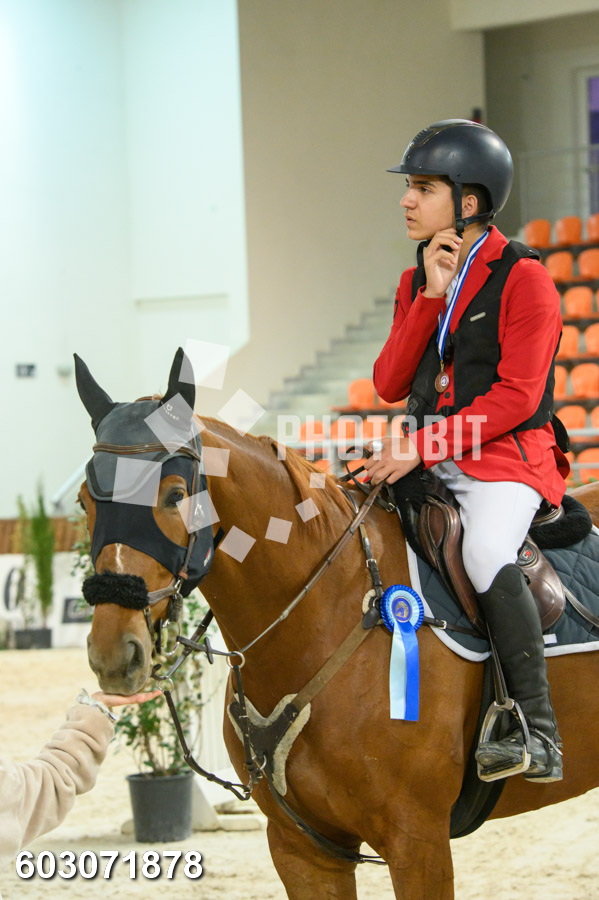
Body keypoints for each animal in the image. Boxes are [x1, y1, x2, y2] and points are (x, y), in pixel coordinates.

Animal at [75, 349, 599, 900]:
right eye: (85, 501)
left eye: (175, 495)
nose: (113, 653)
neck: (328, 613)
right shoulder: (303, 849)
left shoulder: (418, 842)